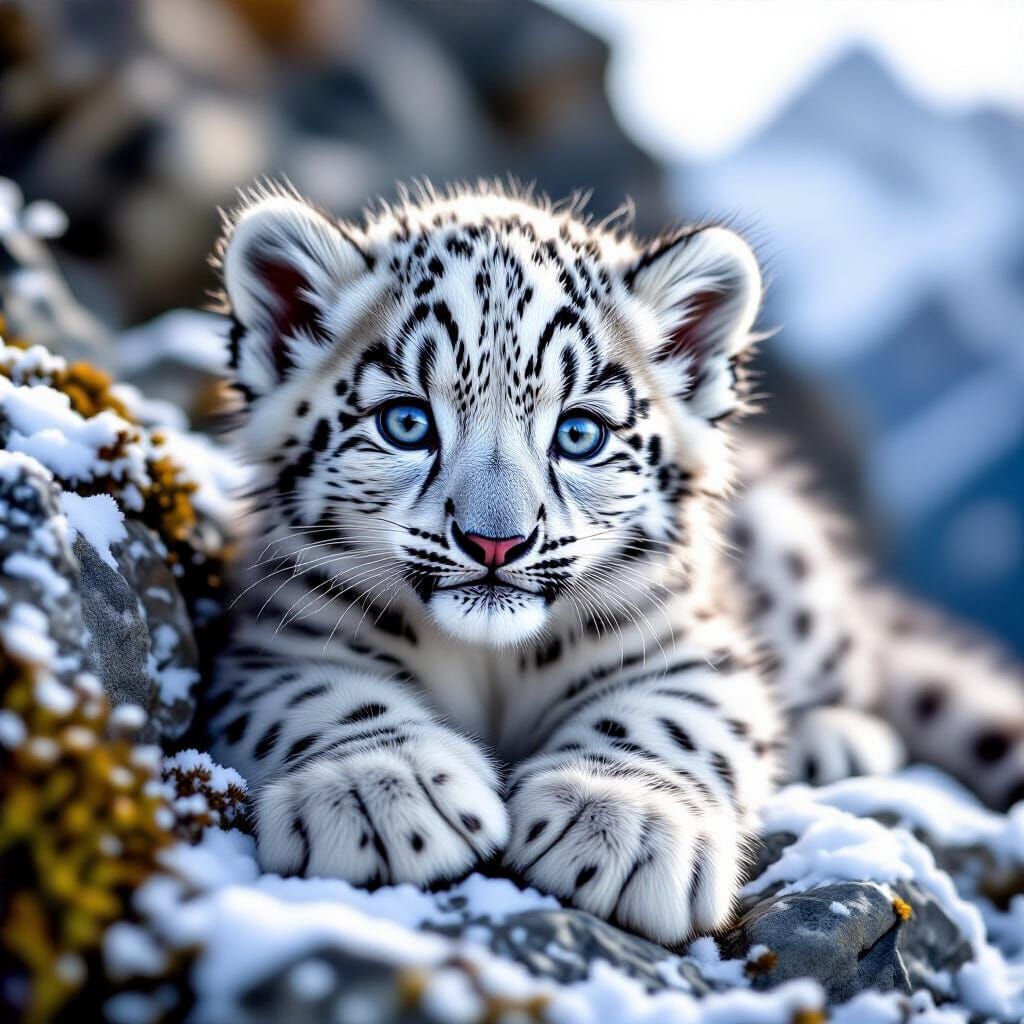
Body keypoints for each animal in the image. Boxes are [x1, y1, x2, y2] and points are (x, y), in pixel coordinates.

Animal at [206, 181, 1024, 947]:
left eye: (579, 433)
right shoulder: (279, 638)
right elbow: (321, 698)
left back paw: (834, 739)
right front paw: (380, 789)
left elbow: (673, 719)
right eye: (406, 422)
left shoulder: (692, 643)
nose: (495, 541)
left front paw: (619, 825)